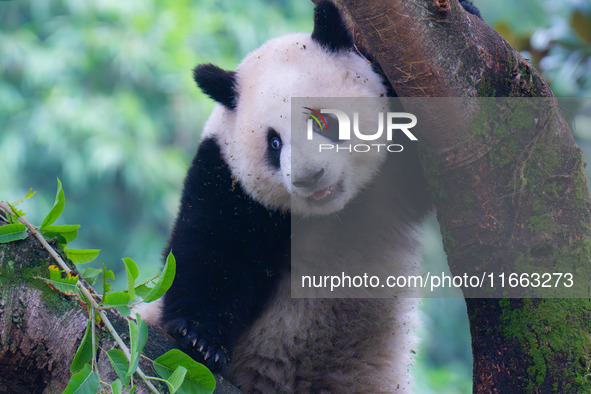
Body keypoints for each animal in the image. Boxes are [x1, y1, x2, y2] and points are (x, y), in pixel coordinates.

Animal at [143, 1, 480, 392]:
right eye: (274, 143)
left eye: (324, 120)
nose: (309, 176)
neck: (334, 213)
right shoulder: (227, 181)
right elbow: (211, 252)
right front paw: (200, 341)